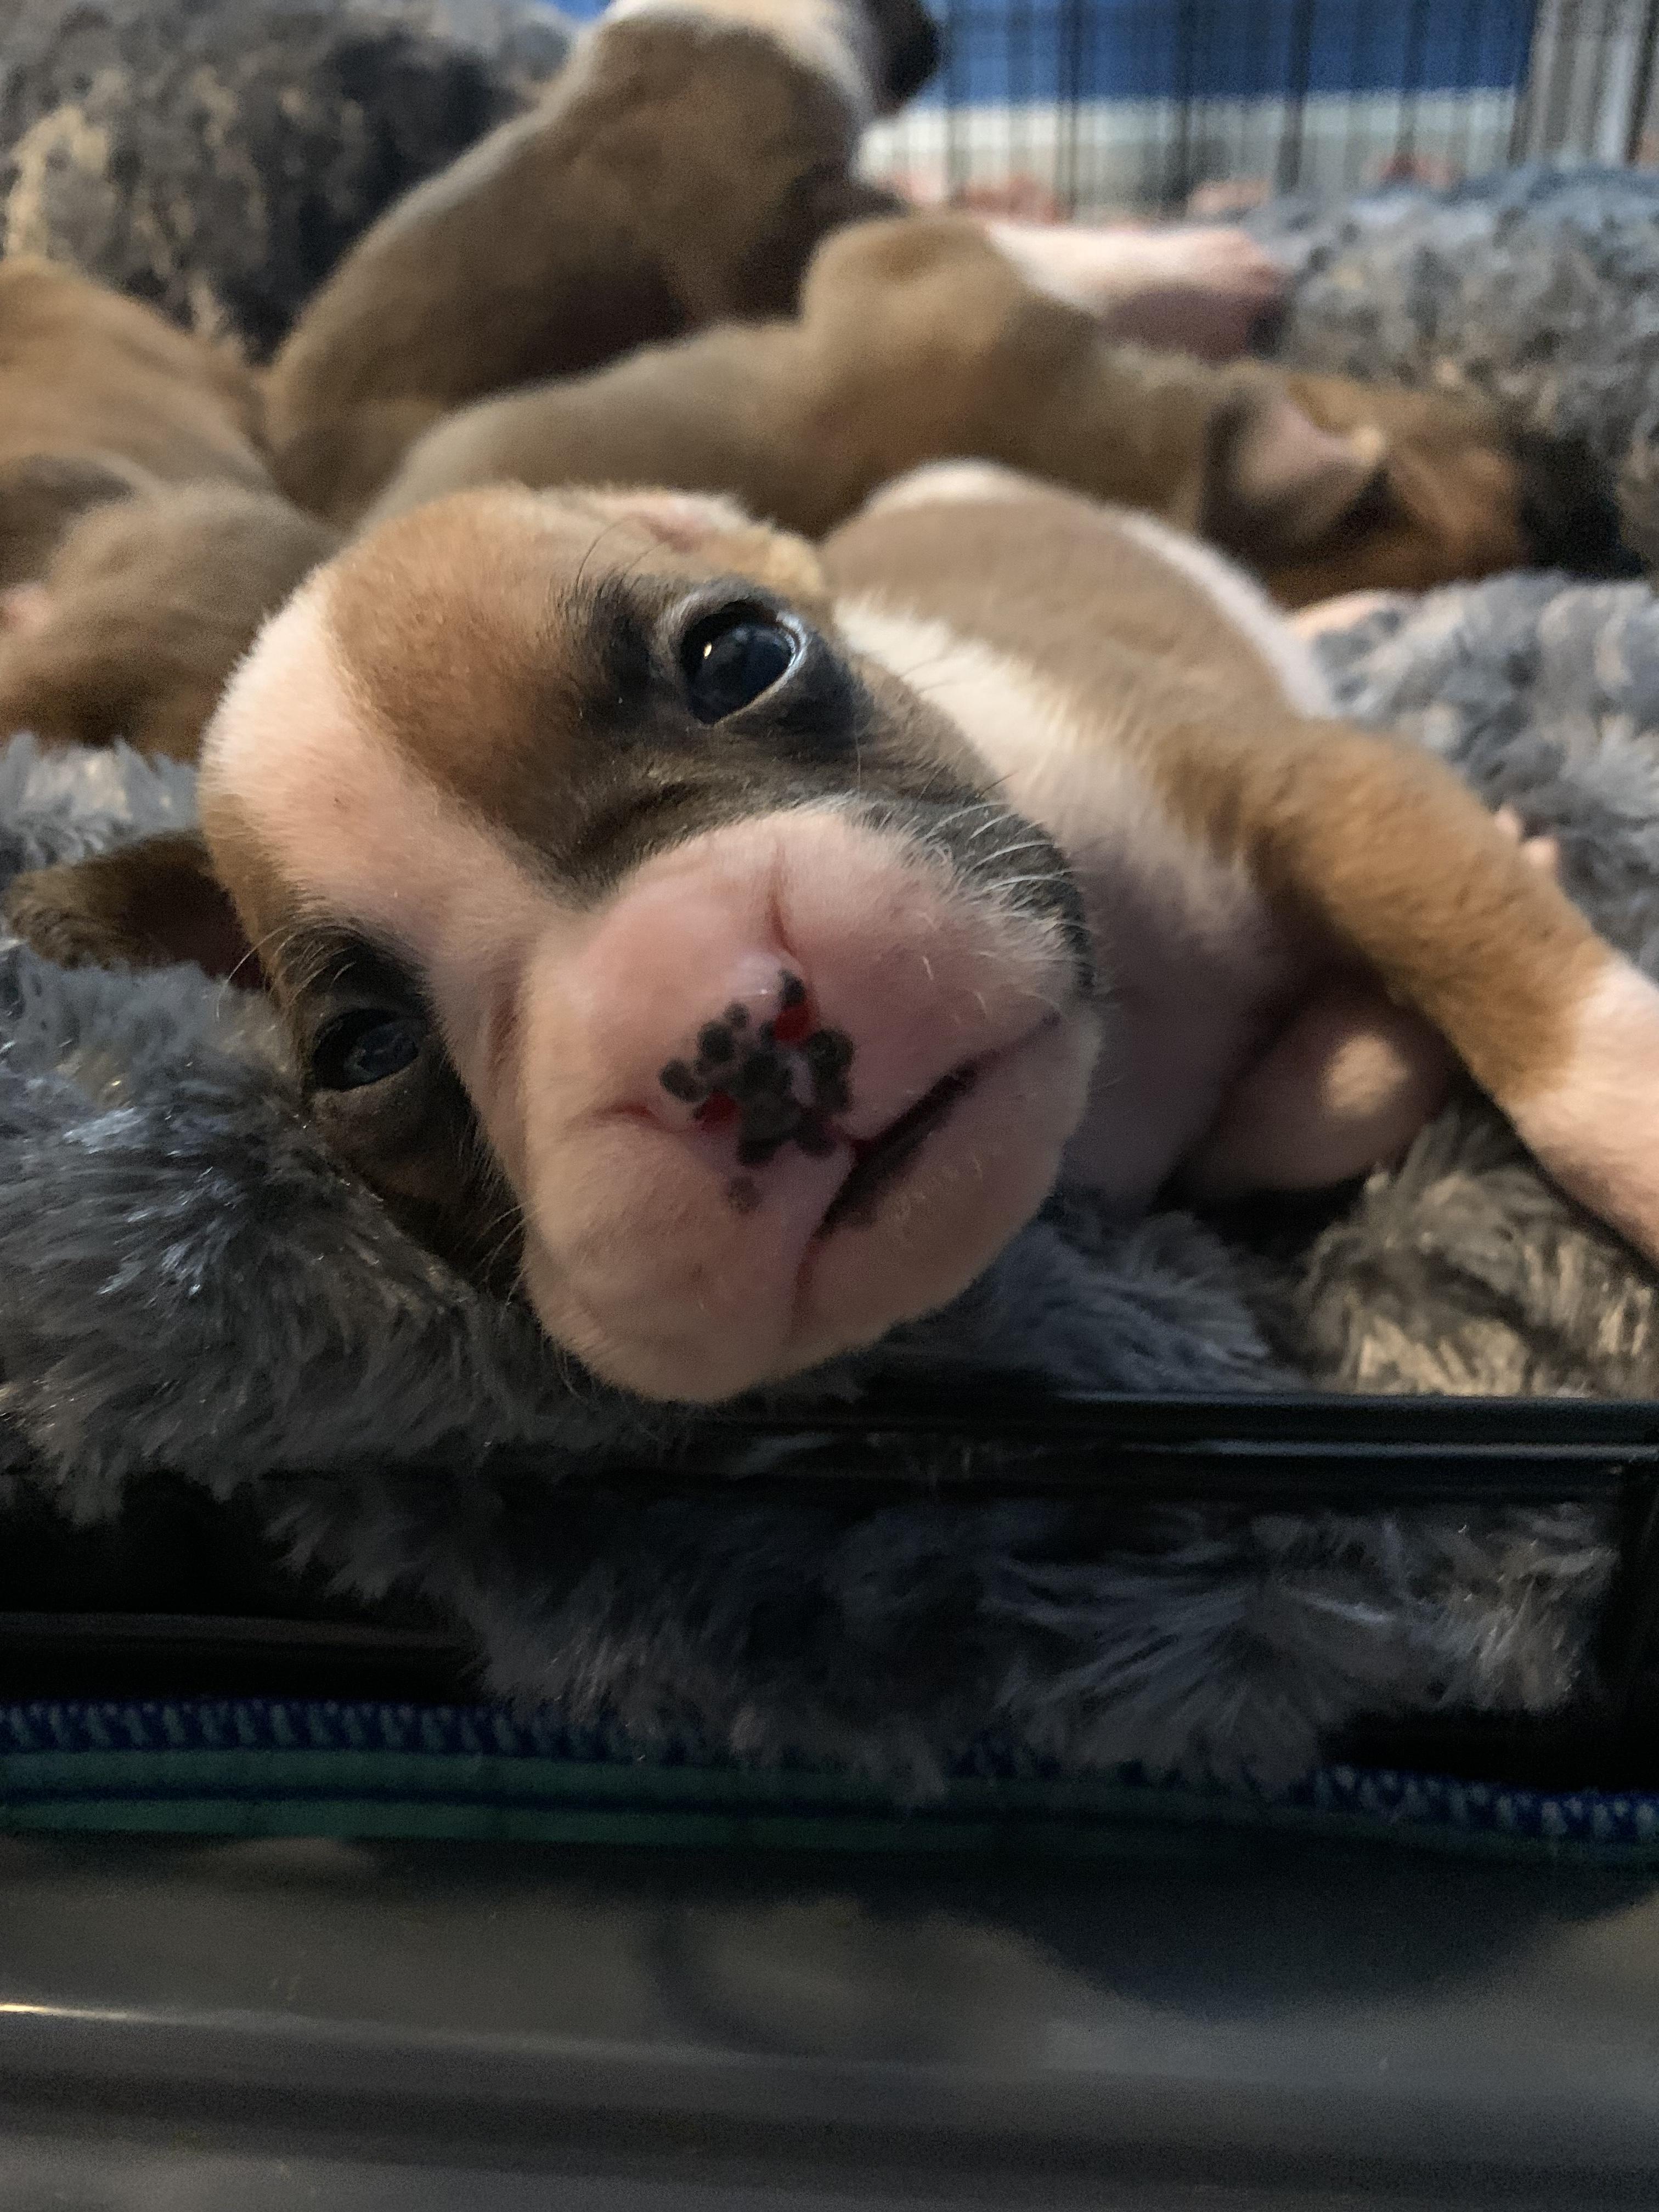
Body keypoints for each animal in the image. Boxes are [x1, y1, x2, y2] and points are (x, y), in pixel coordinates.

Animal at [8, 471, 1658, 1406]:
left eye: (740, 651)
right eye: (366, 1052)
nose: (729, 1031)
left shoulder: (1314, 791)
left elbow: (1547, 1033)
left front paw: (1631, 1122)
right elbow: (1306, 1110)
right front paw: (1356, 1056)